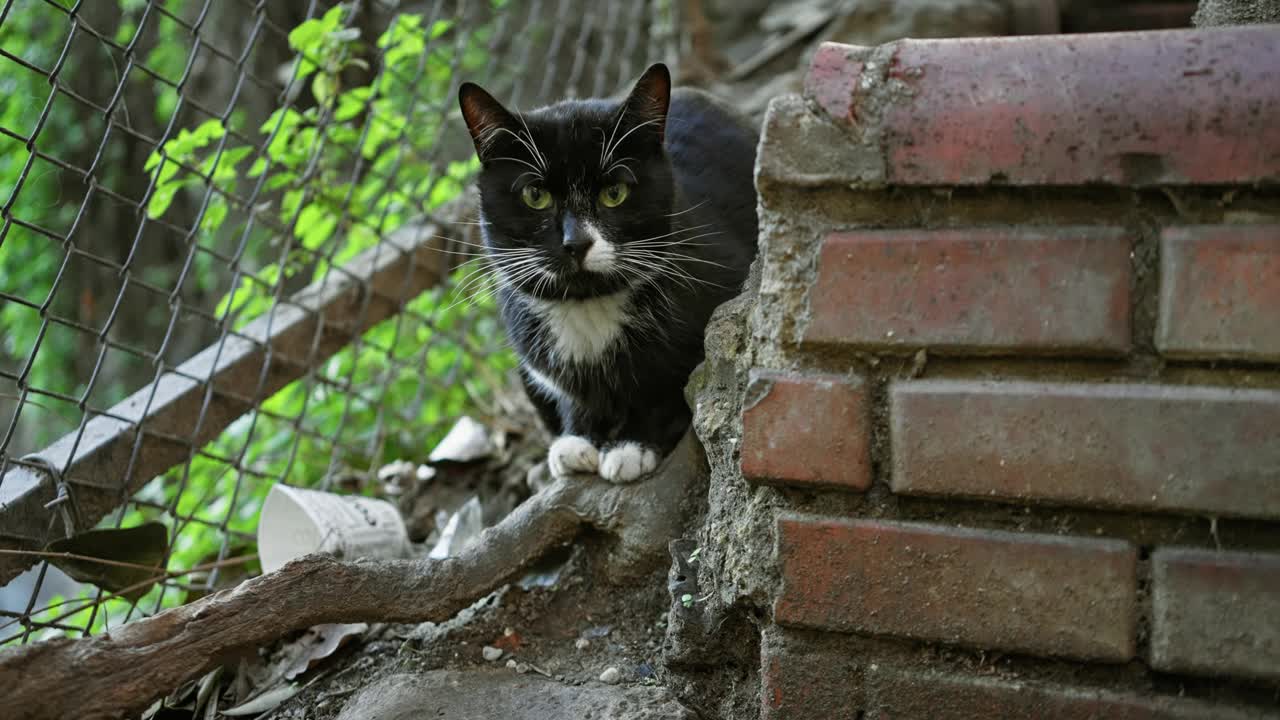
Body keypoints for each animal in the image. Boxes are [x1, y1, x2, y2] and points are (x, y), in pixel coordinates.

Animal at [460, 63, 752, 481]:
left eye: (614, 193)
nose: (576, 242)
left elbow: (675, 385)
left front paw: (631, 446)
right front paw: (576, 440)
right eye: (535, 196)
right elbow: (569, 395)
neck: (589, 307)